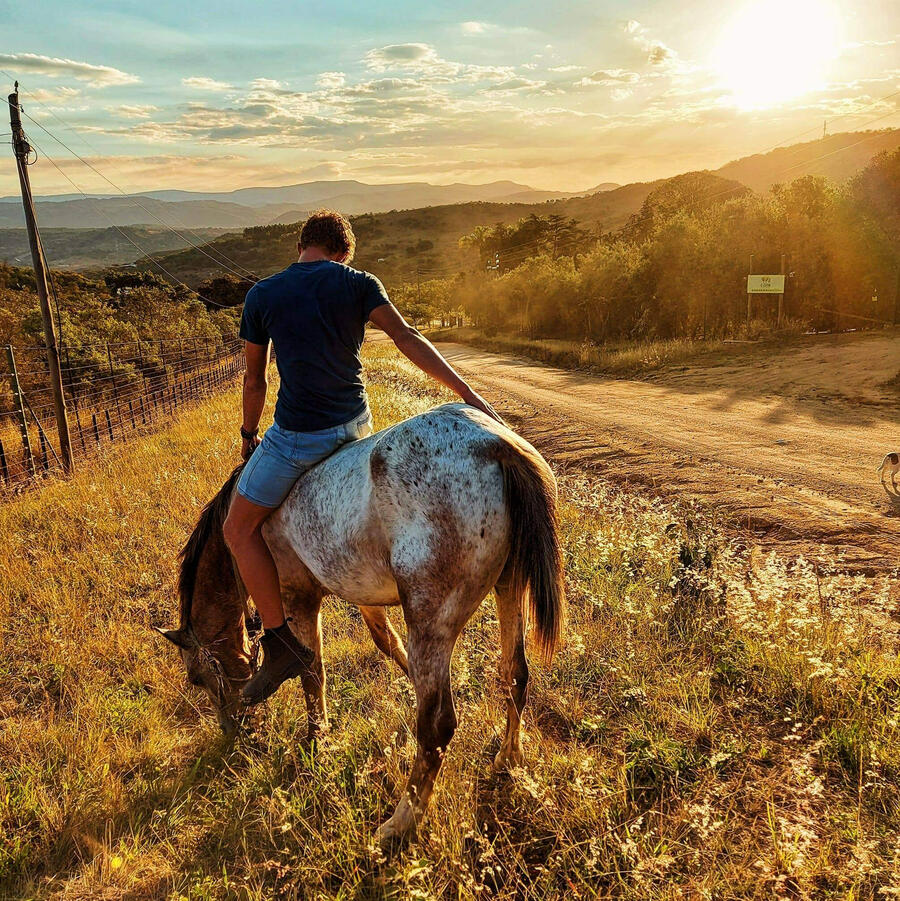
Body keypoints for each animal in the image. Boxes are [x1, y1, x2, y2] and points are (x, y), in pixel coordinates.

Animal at [155, 404, 564, 848]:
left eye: (196, 678)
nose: (233, 730)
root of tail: (495, 444)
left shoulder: (297, 597)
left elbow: (310, 670)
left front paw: (317, 739)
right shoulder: (365, 598)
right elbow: (387, 643)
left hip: (431, 619)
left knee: (437, 725)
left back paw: (400, 823)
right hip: (509, 587)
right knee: (515, 675)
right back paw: (509, 757)